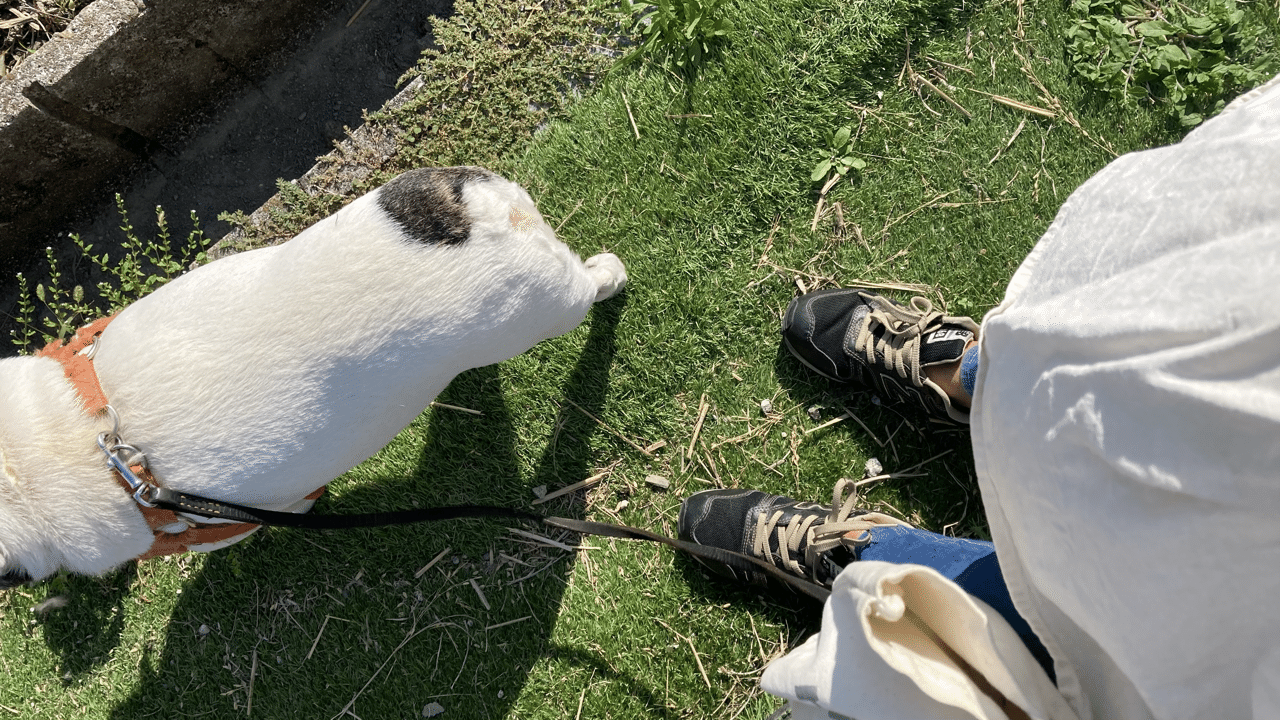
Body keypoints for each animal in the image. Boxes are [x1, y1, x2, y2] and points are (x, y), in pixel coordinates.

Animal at [0, 166, 624, 584]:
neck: (95, 431)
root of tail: (476, 216)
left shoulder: (235, 519)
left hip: (546, 310)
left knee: (584, 288)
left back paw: (609, 275)